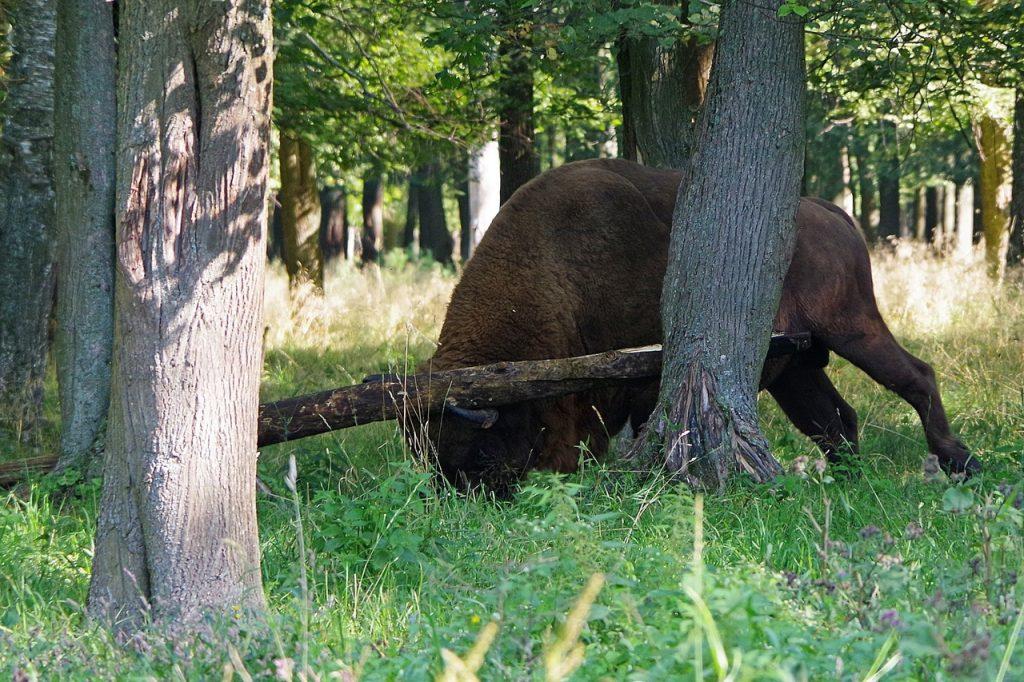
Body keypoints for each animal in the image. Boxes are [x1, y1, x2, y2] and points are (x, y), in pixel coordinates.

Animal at [409, 156, 983, 491]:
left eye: (477, 447)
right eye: (424, 450)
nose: (458, 493)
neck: (555, 273)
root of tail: (831, 212)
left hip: (851, 325)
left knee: (915, 377)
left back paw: (959, 462)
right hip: (797, 367)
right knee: (836, 419)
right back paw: (847, 482)